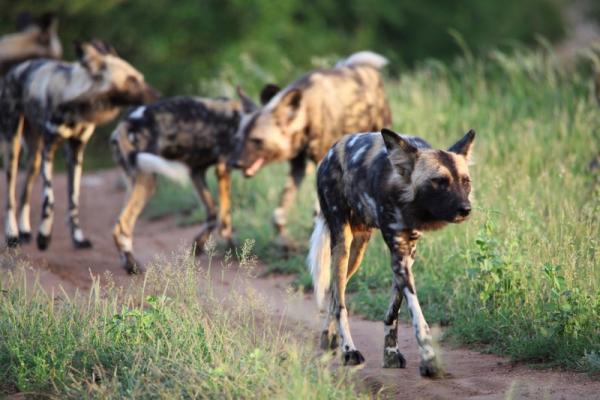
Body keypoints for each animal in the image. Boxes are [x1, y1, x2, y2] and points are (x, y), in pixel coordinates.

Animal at [1, 39, 157, 248]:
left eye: (140, 78)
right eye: (131, 80)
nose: (158, 96)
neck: (76, 105)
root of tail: (15, 69)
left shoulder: (76, 150)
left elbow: (73, 200)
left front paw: (78, 238)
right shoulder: (50, 148)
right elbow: (49, 199)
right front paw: (44, 236)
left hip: (34, 157)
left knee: (25, 193)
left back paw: (25, 231)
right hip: (14, 146)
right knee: (10, 194)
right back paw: (12, 234)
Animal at [111, 95, 243, 274]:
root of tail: (126, 122)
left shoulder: (196, 171)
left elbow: (213, 213)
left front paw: (198, 246)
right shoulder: (223, 168)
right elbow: (225, 218)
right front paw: (234, 250)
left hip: (134, 180)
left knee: (120, 224)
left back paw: (128, 262)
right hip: (147, 181)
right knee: (123, 225)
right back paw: (133, 266)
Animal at [229, 50, 390, 250]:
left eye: (257, 141)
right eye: (238, 138)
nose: (235, 163)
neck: (305, 115)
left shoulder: (322, 163)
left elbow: (317, 215)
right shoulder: (297, 166)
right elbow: (278, 213)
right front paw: (285, 241)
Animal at [310, 127, 474, 376]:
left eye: (465, 182)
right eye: (439, 181)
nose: (465, 209)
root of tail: (331, 151)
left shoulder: (407, 253)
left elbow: (394, 311)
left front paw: (391, 354)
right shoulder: (399, 254)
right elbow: (417, 314)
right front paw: (429, 359)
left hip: (358, 250)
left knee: (334, 293)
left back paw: (329, 337)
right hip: (342, 244)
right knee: (339, 302)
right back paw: (349, 350)